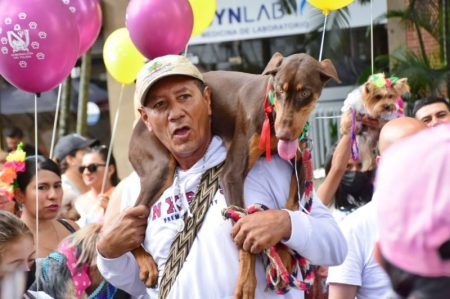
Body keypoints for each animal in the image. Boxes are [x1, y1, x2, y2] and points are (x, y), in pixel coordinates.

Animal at [128, 52, 340, 298]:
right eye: (279, 90)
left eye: (305, 92)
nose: (284, 133)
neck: (270, 114)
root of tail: (138, 124)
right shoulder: (232, 174)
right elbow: (243, 230)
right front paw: (246, 282)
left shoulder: (300, 161)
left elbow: (292, 206)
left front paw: (283, 254)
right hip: (160, 168)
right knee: (128, 217)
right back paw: (144, 261)